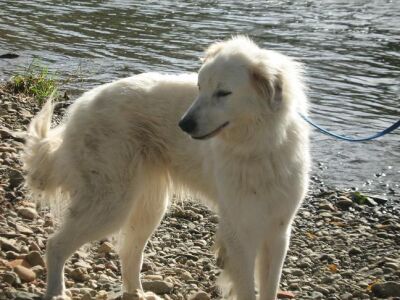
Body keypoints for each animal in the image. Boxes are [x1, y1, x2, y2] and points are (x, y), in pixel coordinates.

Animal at [23, 36, 310, 298]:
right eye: (199, 88)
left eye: (223, 93)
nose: (183, 125)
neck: (260, 145)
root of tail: (80, 105)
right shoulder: (239, 232)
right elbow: (248, 288)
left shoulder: (278, 232)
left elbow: (269, 287)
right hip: (112, 204)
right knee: (56, 245)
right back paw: (57, 291)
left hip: (148, 206)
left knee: (129, 253)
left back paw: (138, 293)